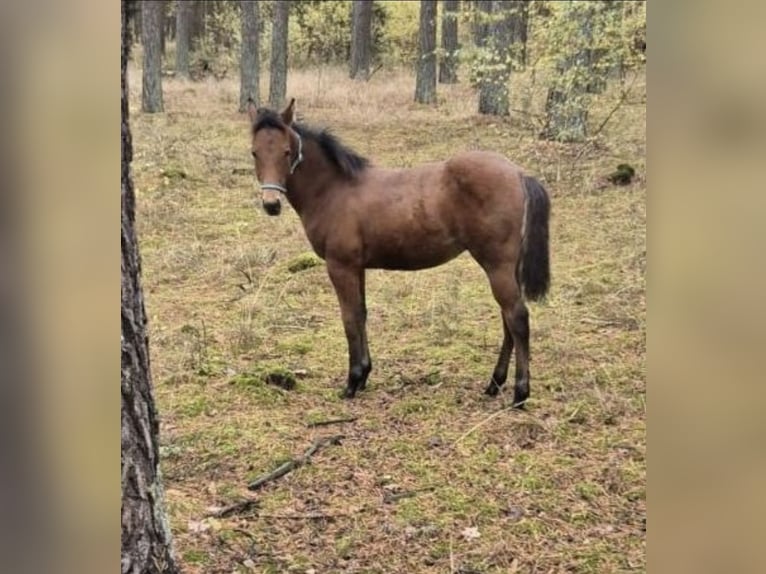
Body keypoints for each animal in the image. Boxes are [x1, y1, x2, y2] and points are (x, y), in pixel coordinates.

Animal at [246, 98, 550, 406]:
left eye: (286, 152)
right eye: (254, 152)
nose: (271, 204)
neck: (334, 190)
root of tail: (518, 173)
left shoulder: (340, 266)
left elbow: (349, 318)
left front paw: (352, 382)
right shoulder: (357, 267)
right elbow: (362, 313)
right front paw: (364, 375)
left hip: (496, 264)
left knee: (517, 317)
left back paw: (520, 393)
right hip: (506, 267)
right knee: (507, 317)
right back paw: (494, 384)